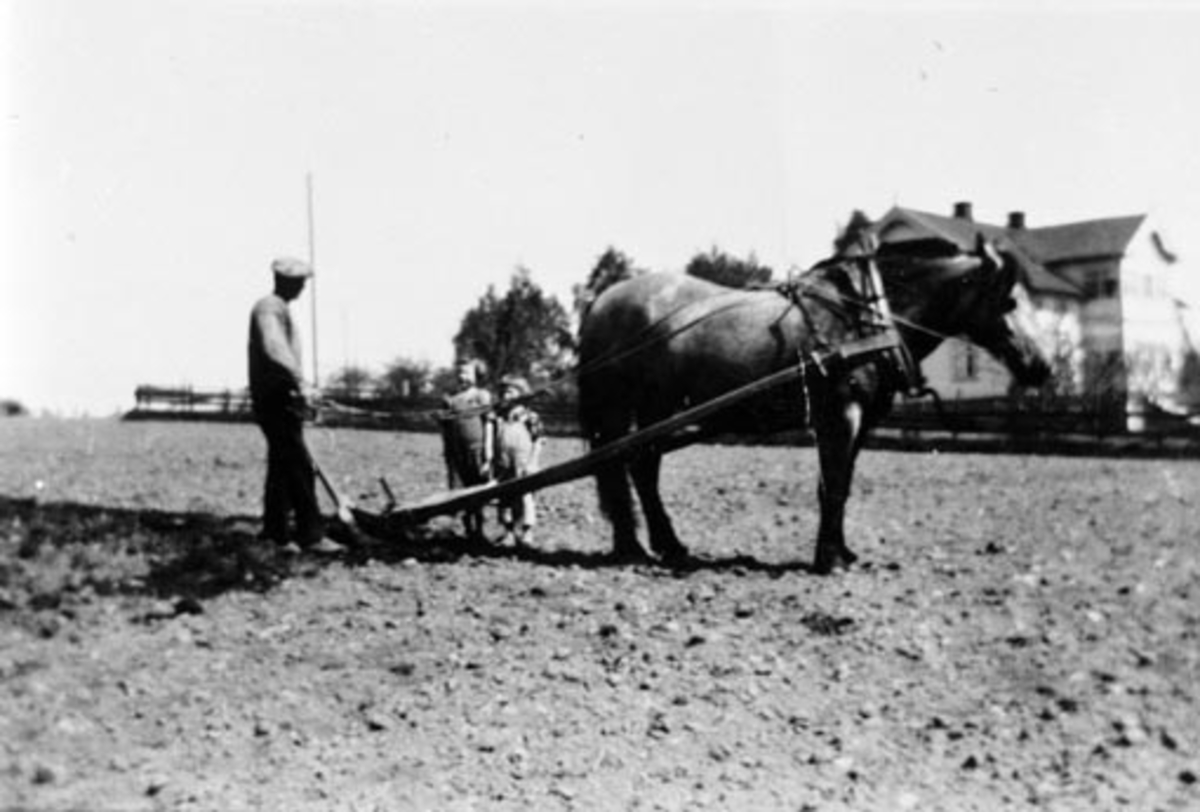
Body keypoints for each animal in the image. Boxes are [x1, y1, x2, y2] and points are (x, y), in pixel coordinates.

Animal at [576, 233, 1046, 573]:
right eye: (1009, 300)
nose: (1041, 367)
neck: (865, 317)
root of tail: (602, 301)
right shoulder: (839, 415)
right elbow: (832, 485)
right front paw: (830, 559)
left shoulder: (861, 421)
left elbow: (842, 484)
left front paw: (842, 551)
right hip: (643, 406)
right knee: (635, 466)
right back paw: (648, 546)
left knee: (637, 467)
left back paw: (654, 546)